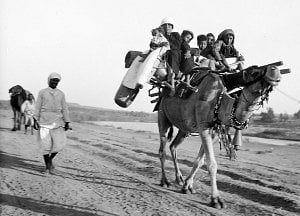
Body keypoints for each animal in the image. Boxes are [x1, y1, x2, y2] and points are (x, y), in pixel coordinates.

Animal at [157, 63, 286, 208]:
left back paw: (178, 179)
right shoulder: (203, 127)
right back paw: (165, 181)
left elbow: (199, 162)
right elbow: (212, 164)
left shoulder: (213, 132)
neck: (220, 101)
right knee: (162, 149)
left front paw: (187, 186)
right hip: (162, 114)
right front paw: (216, 200)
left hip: (184, 129)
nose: (275, 70)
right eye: (254, 72)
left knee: (173, 146)